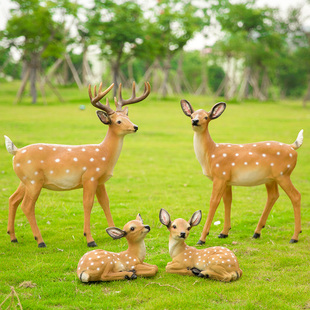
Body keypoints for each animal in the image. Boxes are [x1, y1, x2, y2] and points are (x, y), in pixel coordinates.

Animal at [4, 81, 150, 248]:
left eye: (127, 116)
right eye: (118, 121)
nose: (135, 127)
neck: (104, 154)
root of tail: (16, 151)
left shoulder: (100, 181)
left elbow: (105, 202)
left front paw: (115, 234)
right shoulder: (90, 176)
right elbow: (88, 204)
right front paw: (90, 239)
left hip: (26, 180)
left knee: (13, 199)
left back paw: (13, 237)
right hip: (34, 179)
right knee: (27, 206)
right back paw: (40, 241)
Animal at [180, 100, 304, 243]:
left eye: (206, 117)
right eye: (191, 115)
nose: (195, 121)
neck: (210, 154)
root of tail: (292, 147)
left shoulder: (220, 176)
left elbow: (213, 201)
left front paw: (202, 238)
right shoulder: (227, 180)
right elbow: (227, 200)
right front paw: (224, 232)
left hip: (283, 174)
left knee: (296, 196)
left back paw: (294, 237)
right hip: (271, 178)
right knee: (273, 196)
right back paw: (257, 233)